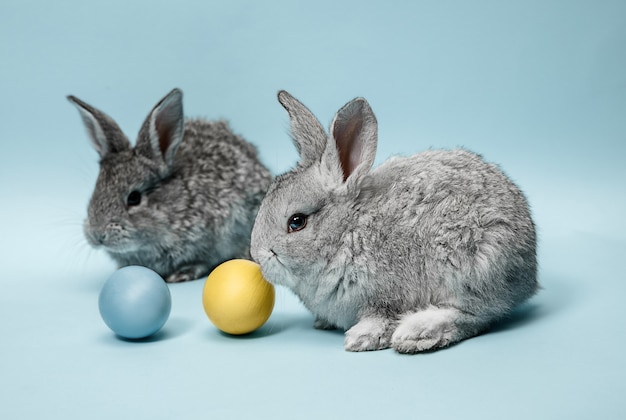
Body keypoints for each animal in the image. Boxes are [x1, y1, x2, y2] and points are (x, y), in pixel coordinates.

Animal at [249, 91, 536, 352]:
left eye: (296, 222)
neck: (347, 233)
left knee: (475, 314)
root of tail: (529, 267)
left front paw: (361, 338)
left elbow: (382, 317)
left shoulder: (387, 296)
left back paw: (416, 333)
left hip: (472, 265)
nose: (256, 256)